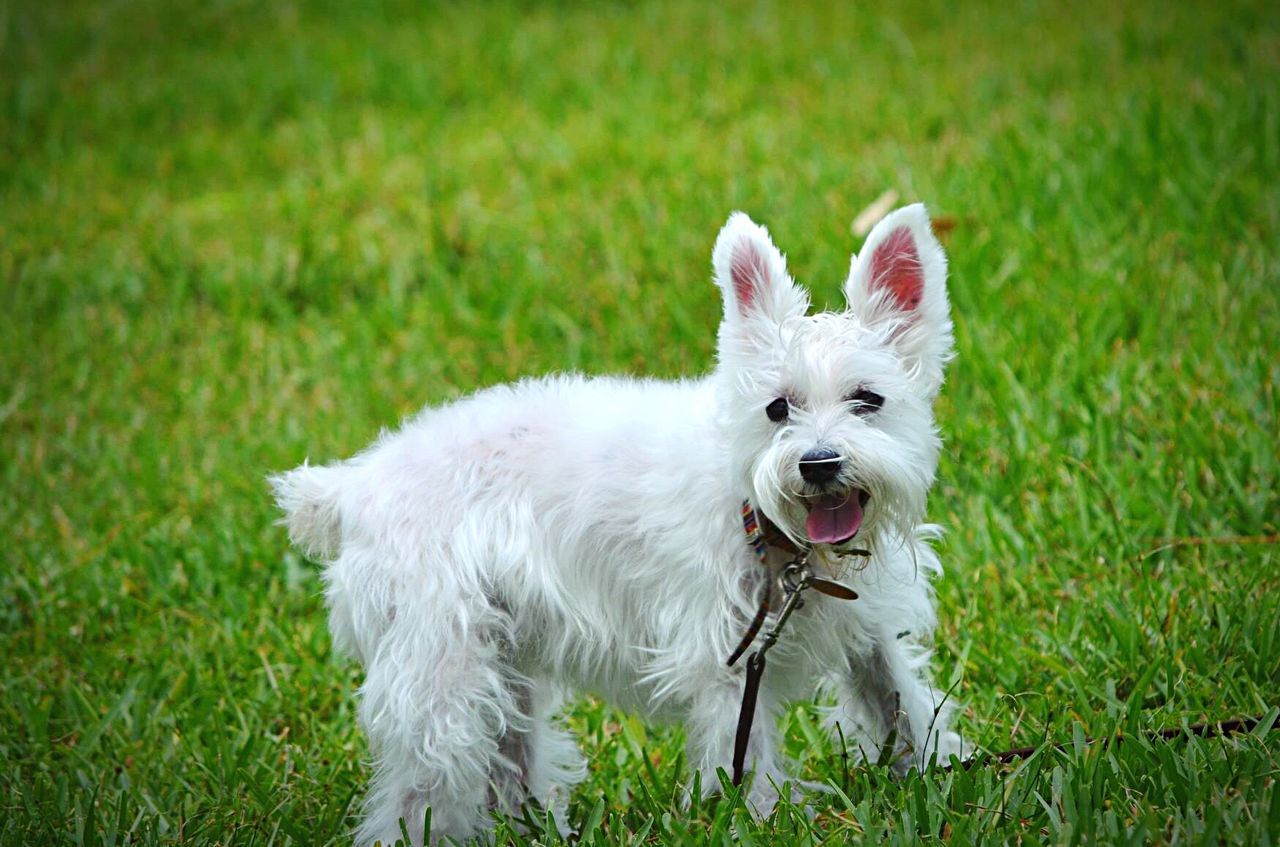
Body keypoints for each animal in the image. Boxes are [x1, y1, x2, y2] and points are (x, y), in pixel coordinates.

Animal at [275, 204, 962, 844]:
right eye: (776, 408)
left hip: (499, 669)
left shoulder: (869, 629)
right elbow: (749, 760)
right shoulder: (724, 662)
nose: (818, 465)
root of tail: (355, 487)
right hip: (440, 677)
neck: (767, 522)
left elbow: (901, 701)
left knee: (508, 760)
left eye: (868, 400)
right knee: (416, 793)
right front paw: (765, 822)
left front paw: (943, 776)